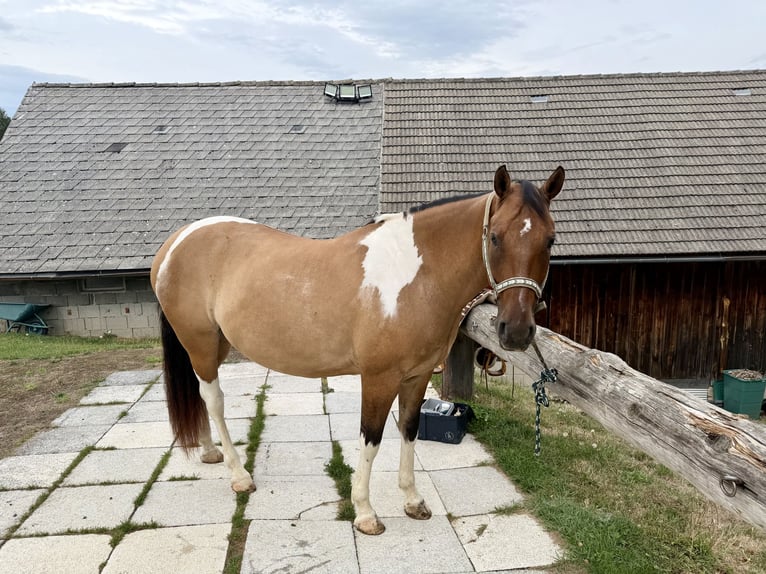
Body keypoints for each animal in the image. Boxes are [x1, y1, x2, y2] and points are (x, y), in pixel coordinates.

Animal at [150, 164, 564, 535]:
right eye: (494, 237)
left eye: (550, 240)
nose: (517, 331)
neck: (415, 275)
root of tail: (176, 241)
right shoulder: (379, 378)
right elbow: (372, 437)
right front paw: (365, 513)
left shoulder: (416, 377)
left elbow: (409, 431)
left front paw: (413, 500)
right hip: (201, 343)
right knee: (214, 400)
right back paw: (239, 475)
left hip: (216, 345)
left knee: (201, 395)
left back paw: (210, 452)